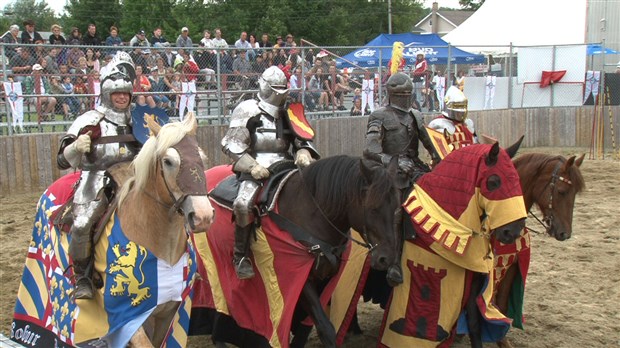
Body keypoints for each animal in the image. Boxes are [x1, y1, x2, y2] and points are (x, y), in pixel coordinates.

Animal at [492, 153, 584, 348]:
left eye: (575, 194)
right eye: (561, 191)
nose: (565, 233)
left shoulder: (512, 266)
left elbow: (500, 306)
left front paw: (502, 340)